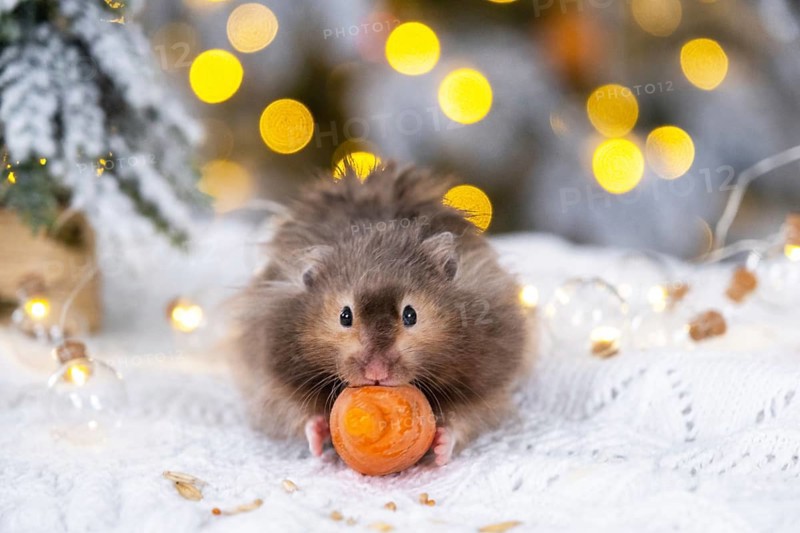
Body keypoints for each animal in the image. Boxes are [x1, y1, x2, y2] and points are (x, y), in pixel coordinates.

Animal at [233, 164, 531, 466]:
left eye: (410, 315)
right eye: (345, 316)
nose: (376, 373)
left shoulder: (487, 382)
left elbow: (466, 419)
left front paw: (439, 449)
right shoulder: (273, 375)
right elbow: (297, 413)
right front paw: (318, 437)